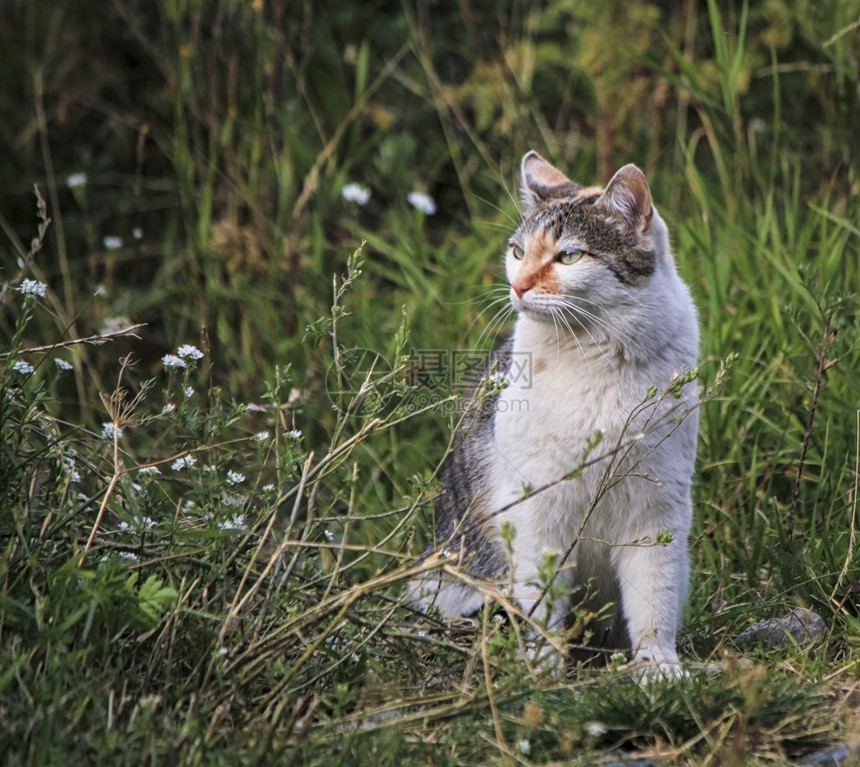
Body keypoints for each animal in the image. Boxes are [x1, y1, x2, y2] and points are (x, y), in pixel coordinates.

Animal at [410, 152, 700, 680]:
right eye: (518, 250)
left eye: (569, 257)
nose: (518, 285)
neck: (597, 357)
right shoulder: (539, 512)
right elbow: (542, 600)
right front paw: (543, 669)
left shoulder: (658, 509)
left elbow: (654, 598)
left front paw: (659, 668)